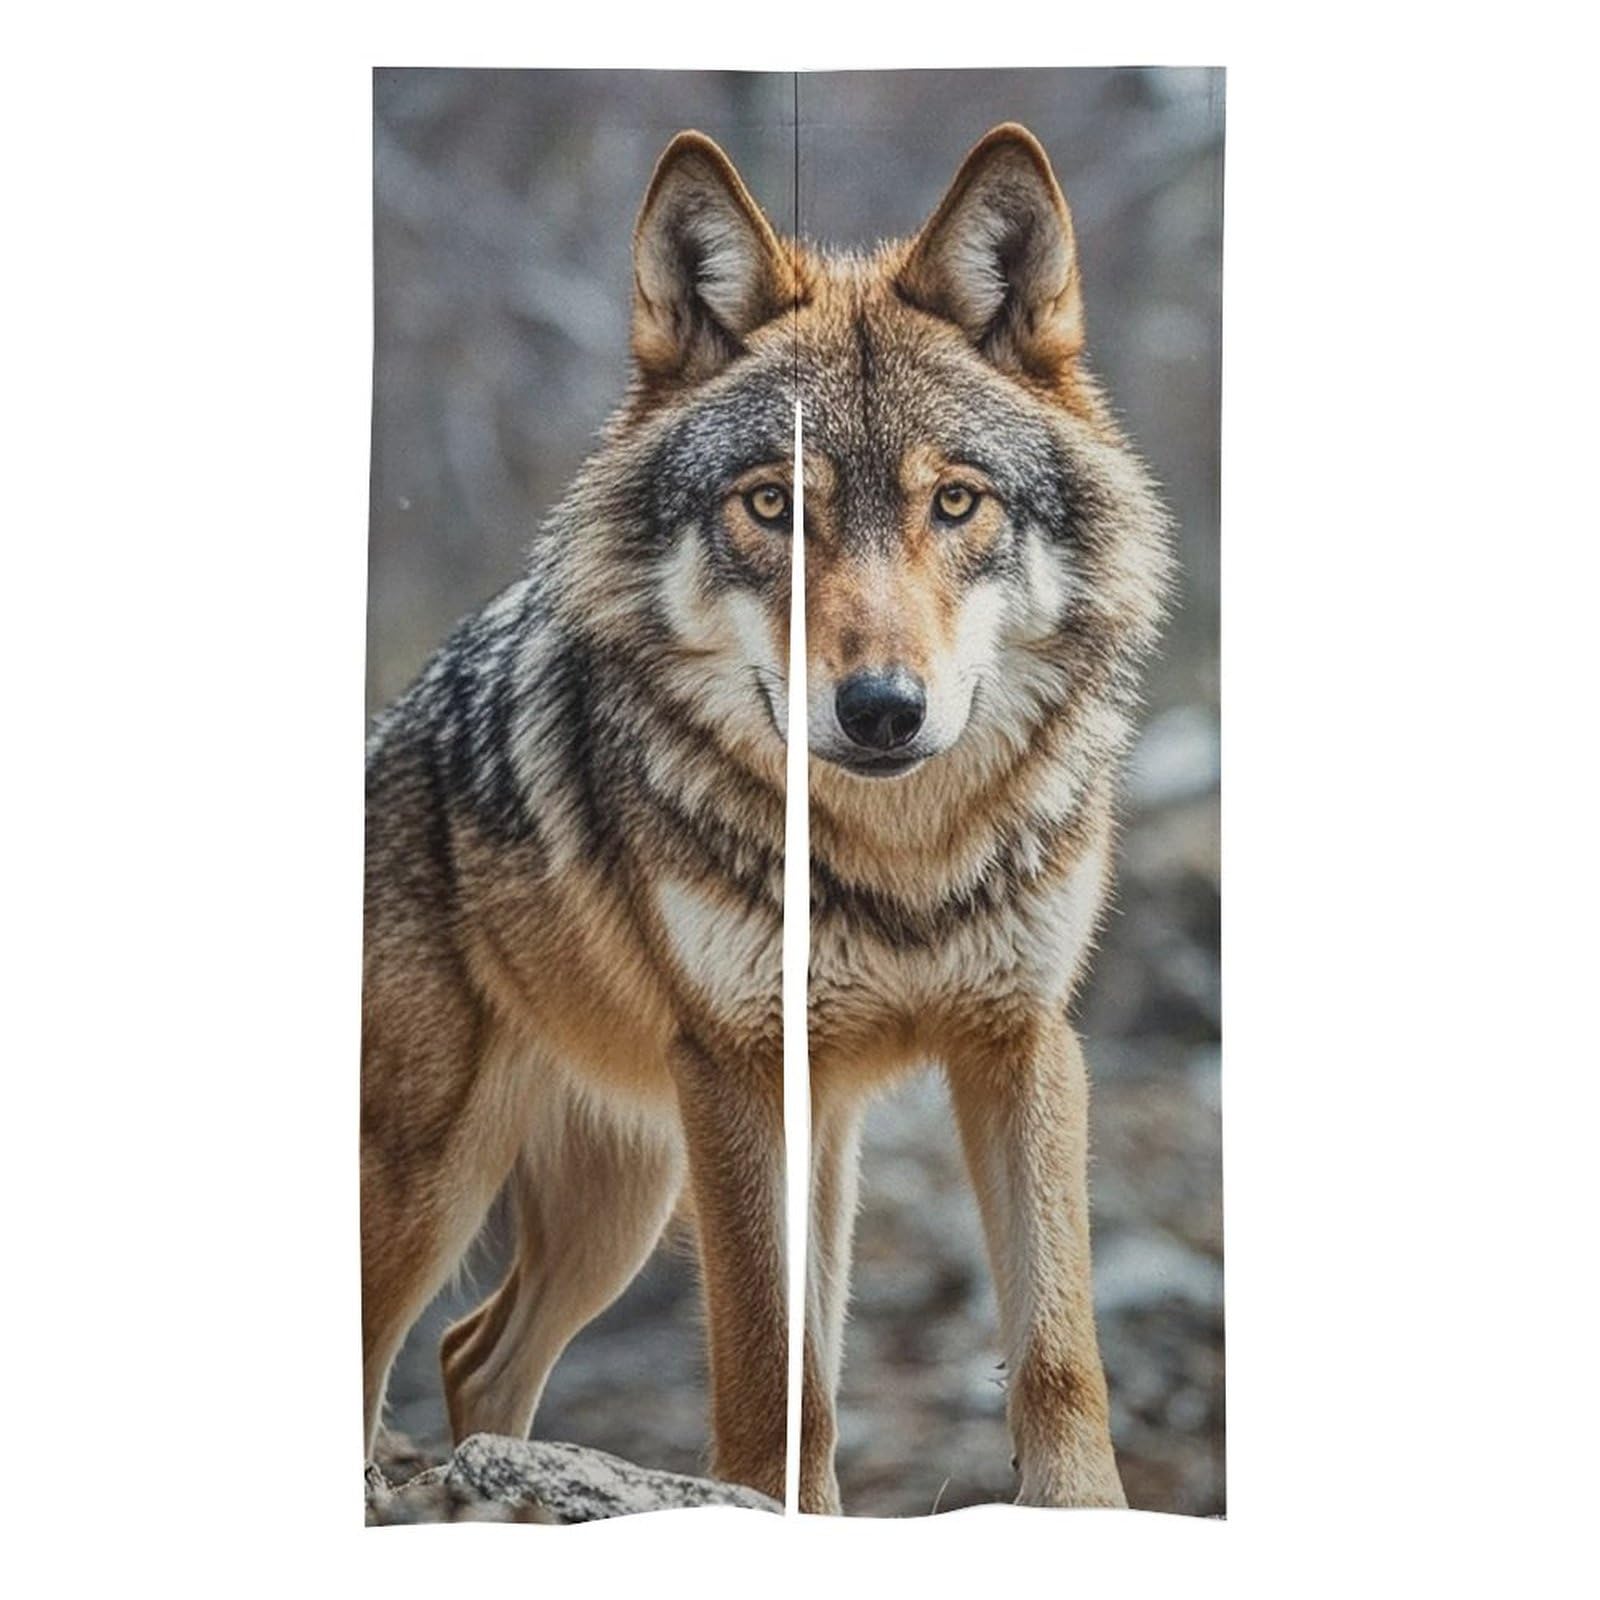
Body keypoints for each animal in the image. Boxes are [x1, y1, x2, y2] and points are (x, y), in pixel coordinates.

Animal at [362, 123, 1171, 1515]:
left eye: (955, 503)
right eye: (772, 504)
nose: (883, 710)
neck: (895, 859)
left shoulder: (1020, 1041)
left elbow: (1057, 1354)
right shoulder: (736, 1069)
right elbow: (770, 1372)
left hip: (643, 1197)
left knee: (472, 1355)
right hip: (438, 1183)